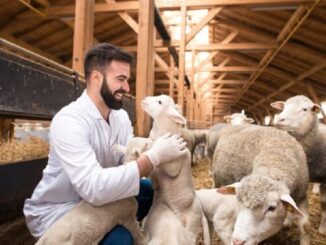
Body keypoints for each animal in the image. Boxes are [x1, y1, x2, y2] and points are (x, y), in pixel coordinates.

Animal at [140, 94, 209, 245]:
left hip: (192, 221)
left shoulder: (174, 166)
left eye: (159, 102)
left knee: (190, 237)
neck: (164, 133)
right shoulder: (155, 177)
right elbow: (154, 177)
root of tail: (201, 212)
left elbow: (167, 164)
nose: (144, 99)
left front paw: (154, 146)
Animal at [270, 94, 326, 234]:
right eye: (284, 107)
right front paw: (287, 222)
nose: (280, 119)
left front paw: (322, 229)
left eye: (305, 109)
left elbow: (324, 205)